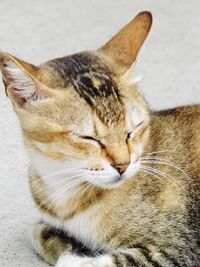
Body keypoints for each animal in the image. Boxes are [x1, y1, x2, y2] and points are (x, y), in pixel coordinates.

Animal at [0, 9, 200, 266]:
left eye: (132, 130)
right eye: (89, 138)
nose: (123, 165)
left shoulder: (177, 248)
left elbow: (95, 261)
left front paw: (74, 255)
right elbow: (36, 231)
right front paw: (67, 243)